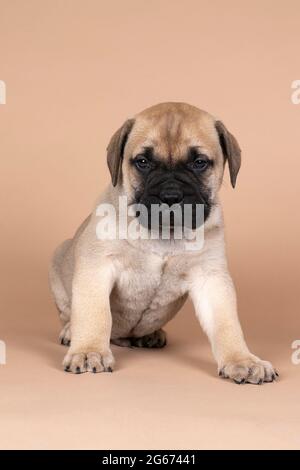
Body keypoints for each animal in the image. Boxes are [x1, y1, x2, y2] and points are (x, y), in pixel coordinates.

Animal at [48, 101, 278, 384]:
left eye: (199, 163)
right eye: (143, 162)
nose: (170, 195)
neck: (164, 234)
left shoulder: (211, 278)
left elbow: (227, 324)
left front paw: (242, 360)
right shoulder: (97, 266)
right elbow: (95, 313)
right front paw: (89, 351)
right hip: (59, 258)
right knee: (70, 313)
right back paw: (71, 331)